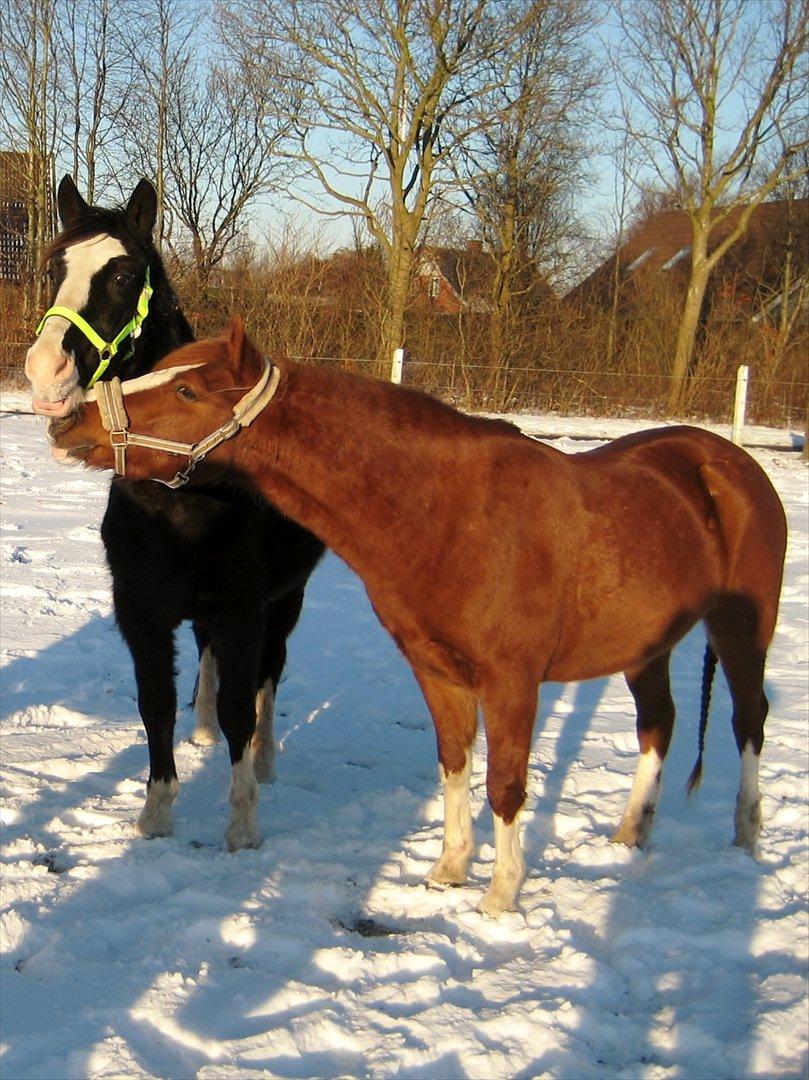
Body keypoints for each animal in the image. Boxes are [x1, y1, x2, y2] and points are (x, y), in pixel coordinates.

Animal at [28, 177, 324, 846]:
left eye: (122, 274)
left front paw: (242, 824)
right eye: (55, 267)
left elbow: (245, 704)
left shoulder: (244, 609)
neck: (179, 499)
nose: (45, 374)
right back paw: (203, 729)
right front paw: (157, 810)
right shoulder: (140, 611)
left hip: (285, 602)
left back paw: (264, 761)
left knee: (270, 676)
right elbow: (155, 704)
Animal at [50, 319, 781, 920]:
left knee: (748, 721)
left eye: (189, 392)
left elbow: (505, 785)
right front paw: (449, 870)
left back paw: (746, 836)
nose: (68, 421)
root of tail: (729, 464)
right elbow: (454, 764)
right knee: (659, 723)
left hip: (741, 634)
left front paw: (499, 897)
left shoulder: (511, 682)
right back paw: (632, 833)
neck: (448, 512)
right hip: (645, 648)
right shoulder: (437, 671)